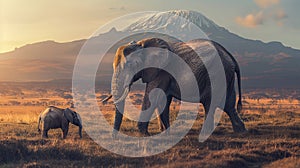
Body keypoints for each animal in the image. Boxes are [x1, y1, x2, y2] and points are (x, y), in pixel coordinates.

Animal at [108, 37, 246, 136]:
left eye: (131, 65)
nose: (114, 137)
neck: (142, 43)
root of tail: (229, 55)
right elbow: (163, 100)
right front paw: (165, 132)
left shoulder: (162, 72)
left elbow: (153, 97)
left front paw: (144, 134)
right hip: (226, 76)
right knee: (229, 103)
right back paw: (241, 131)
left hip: (216, 75)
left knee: (211, 103)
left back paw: (206, 134)